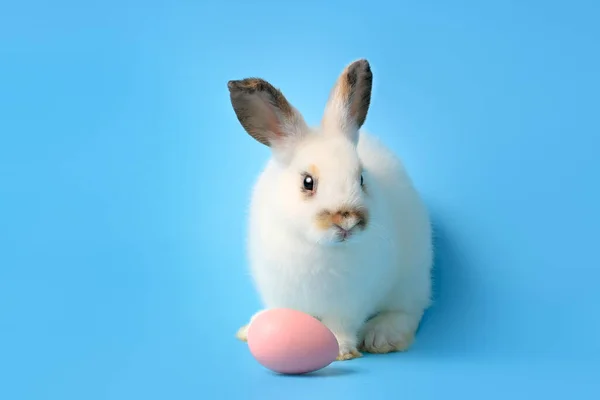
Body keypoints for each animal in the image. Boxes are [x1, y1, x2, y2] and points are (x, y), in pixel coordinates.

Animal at [229, 60, 432, 362]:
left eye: (361, 178)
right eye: (307, 182)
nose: (347, 221)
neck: (317, 247)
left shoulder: (350, 302)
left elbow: (341, 325)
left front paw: (340, 350)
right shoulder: (280, 291)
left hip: (411, 280)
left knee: (408, 311)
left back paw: (382, 336)